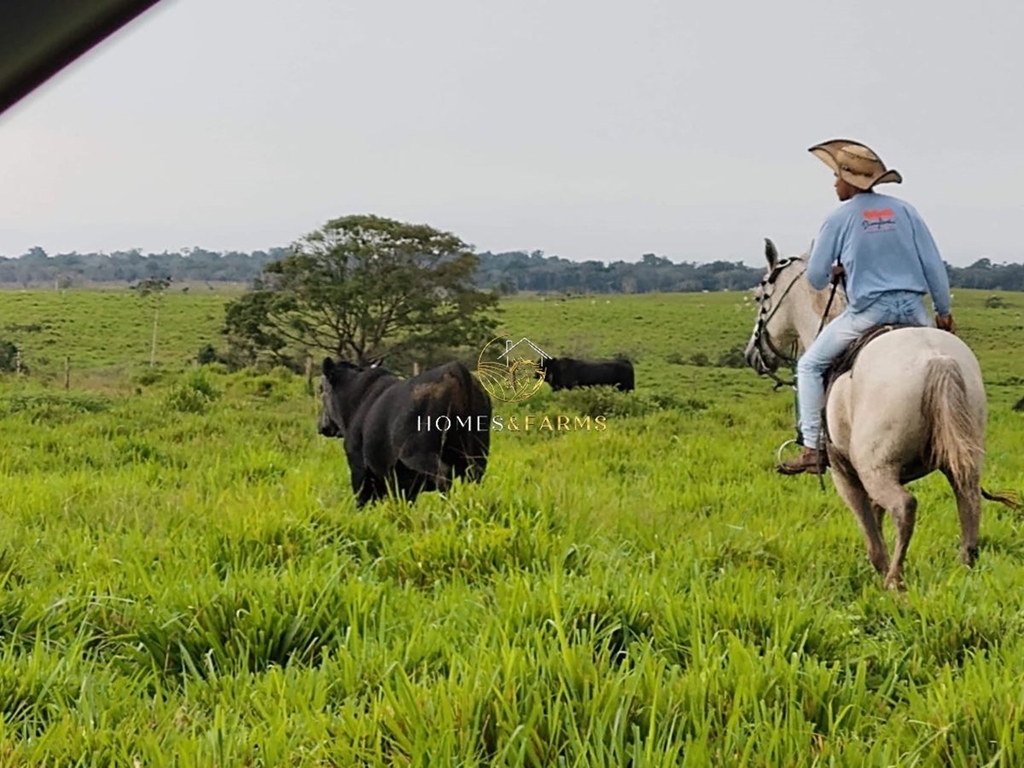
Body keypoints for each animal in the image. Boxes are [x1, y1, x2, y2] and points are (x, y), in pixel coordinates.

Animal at [319, 358, 495, 507]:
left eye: (321, 389)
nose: (322, 425)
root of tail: (456, 369)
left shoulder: (359, 465)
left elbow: (362, 500)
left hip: (419, 454)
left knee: (443, 476)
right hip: (477, 455)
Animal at [745, 237, 1015, 593]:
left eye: (761, 297)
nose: (752, 354)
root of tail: (937, 360)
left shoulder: (844, 472)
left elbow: (870, 531)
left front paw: (879, 569)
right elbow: (876, 518)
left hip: (876, 469)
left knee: (905, 506)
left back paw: (895, 579)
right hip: (962, 459)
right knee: (968, 500)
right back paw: (964, 567)